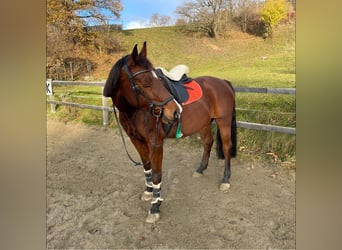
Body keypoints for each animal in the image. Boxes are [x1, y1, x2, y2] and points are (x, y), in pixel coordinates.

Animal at [103, 42, 236, 224]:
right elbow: (147, 167)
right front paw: (148, 192)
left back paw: (225, 180)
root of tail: (222, 82)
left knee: (227, 147)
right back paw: (200, 169)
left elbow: (157, 174)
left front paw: (155, 207)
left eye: (158, 79)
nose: (175, 111)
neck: (136, 111)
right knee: (208, 142)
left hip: (223, 121)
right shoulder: (136, 140)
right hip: (204, 123)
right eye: (146, 82)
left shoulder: (156, 143)